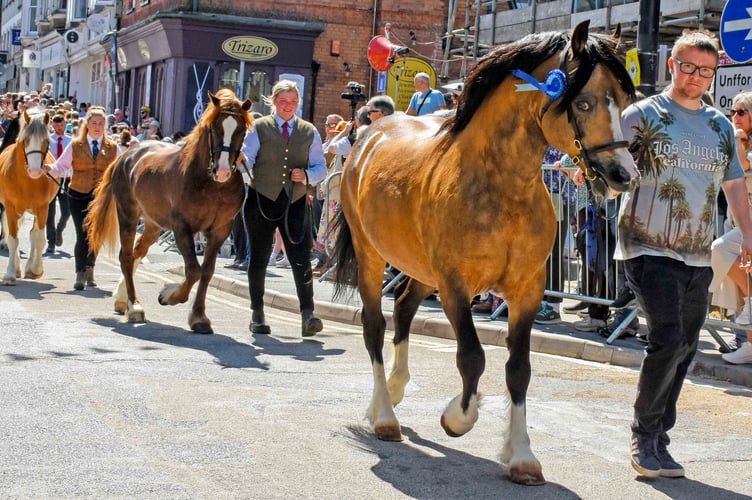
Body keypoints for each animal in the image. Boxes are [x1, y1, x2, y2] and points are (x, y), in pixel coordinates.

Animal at [0, 110, 57, 285]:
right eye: (25, 140)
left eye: (46, 141)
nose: (35, 171)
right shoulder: (10, 208)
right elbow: (12, 239)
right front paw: (10, 274)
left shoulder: (43, 208)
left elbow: (39, 239)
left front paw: (35, 270)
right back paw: (18, 268)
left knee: (33, 234)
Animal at [86, 89, 252, 333]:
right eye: (214, 127)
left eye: (241, 129)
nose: (222, 171)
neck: (211, 184)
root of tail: (127, 155)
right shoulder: (182, 228)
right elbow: (193, 270)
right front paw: (169, 296)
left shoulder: (220, 230)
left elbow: (207, 271)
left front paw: (199, 317)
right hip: (128, 215)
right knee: (126, 256)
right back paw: (134, 307)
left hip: (153, 224)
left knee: (137, 252)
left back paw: (122, 299)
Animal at [332, 21, 639, 485]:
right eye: (583, 102)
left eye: (624, 101)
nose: (624, 174)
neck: (501, 186)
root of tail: (370, 133)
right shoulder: (455, 285)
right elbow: (472, 358)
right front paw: (457, 417)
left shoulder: (528, 290)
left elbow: (519, 369)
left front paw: (523, 456)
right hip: (373, 255)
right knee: (374, 324)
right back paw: (384, 415)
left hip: (421, 269)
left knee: (402, 308)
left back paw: (399, 388)